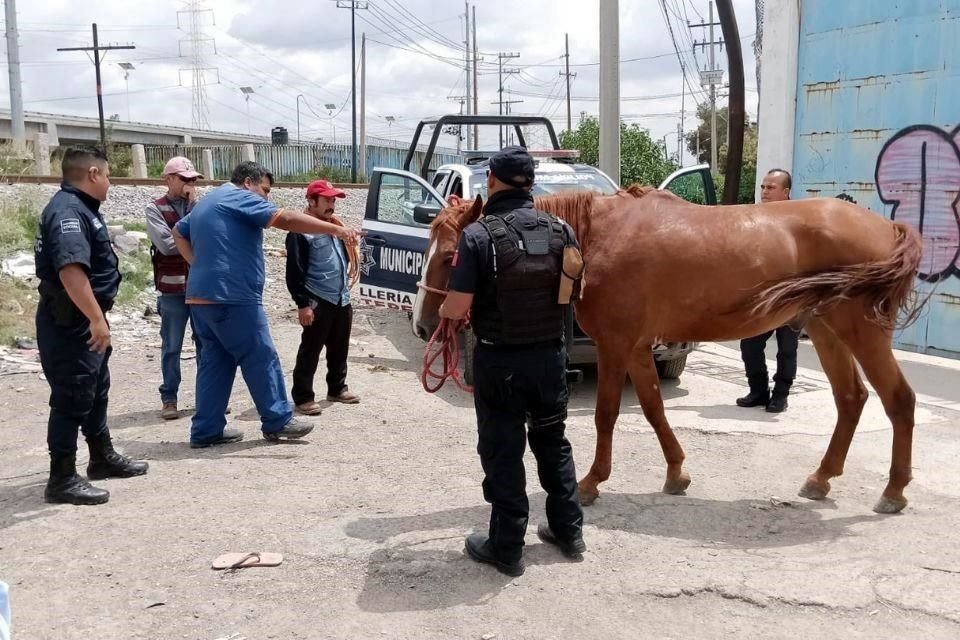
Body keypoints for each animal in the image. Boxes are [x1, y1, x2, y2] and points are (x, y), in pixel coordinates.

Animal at [416, 186, 928, 516]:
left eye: (451, 255)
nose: (424, 324)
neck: (596, 237)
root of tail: (887, 226)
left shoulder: (615, 345)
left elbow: (607, 414)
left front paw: (590, 483)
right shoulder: (638, 348)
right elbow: (653, 408)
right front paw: (677, 473)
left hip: (861, 331)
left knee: (899, 401)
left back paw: (894, 491)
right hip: (826, 332)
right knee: (851, 399)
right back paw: (821, 479)